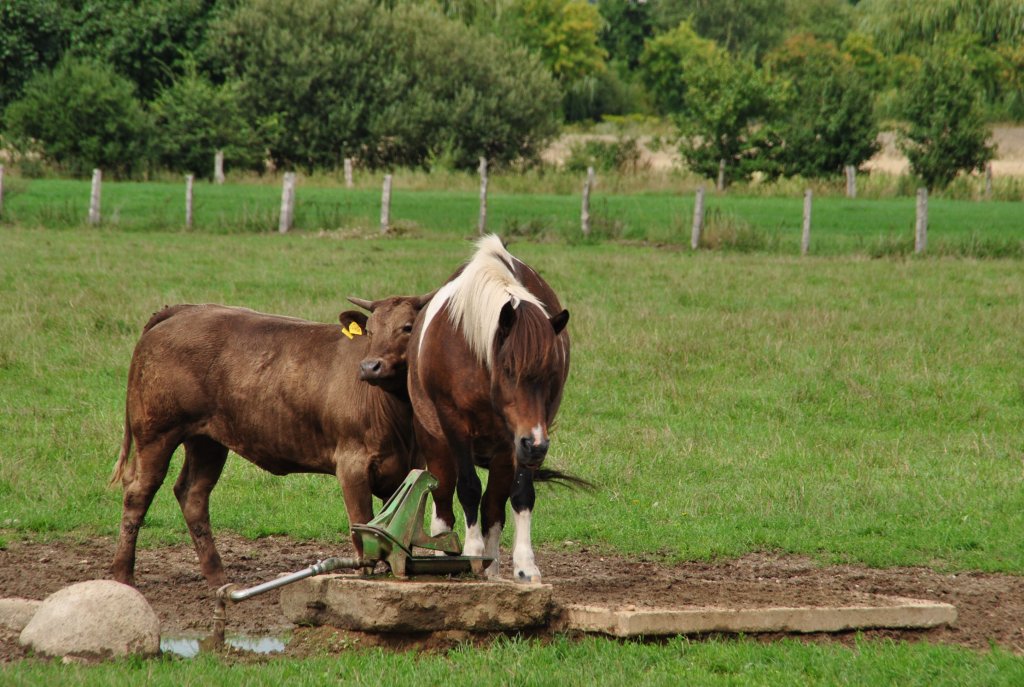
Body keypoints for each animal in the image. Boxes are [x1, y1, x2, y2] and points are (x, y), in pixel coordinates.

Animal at [110, 292, 430, 589]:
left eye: (407, 327)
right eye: (371, 331)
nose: (370, 366)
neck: (396, 416)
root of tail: (186, 309)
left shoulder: (404, 468)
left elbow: (394, 523)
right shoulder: (352, 466)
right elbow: (361, 523)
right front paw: (364, 573)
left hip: (207, 441)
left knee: (193, 494)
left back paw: (218, 578)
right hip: (156, 433)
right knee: (138, 493)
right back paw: (123, 575)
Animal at [405, 235, 569, 581]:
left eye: (551, 373)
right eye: (508, 369)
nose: (536, 445)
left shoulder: (521, 436)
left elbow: (519, 495)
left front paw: (524, 564)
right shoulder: (454, 424)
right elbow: (467, 488)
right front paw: (471, 552)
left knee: (493, 504)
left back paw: (491, 566)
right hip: (435, 441)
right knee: (443, 497)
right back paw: (448, 552)